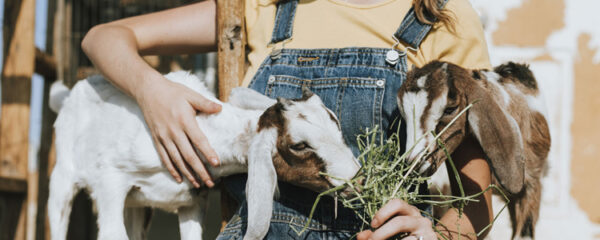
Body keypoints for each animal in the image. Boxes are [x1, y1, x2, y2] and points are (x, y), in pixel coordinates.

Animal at [48, 71, 360, 240]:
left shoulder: (192, 201)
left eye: (333, 119)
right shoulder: (110, 182)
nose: (357, 178)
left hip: (137, 204)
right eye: (299, 146)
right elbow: (113, 233)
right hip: (62, 177)